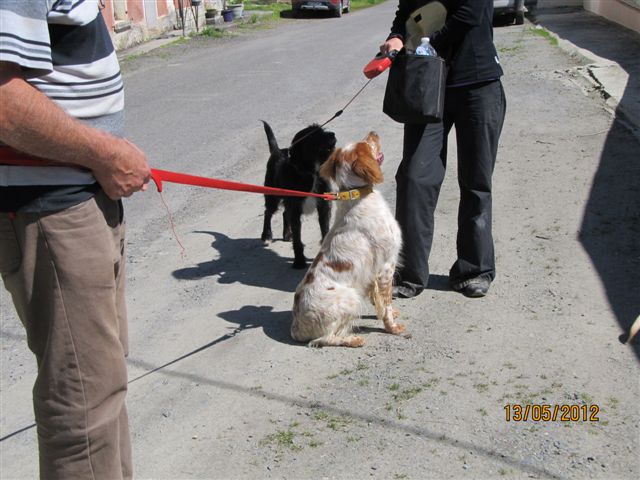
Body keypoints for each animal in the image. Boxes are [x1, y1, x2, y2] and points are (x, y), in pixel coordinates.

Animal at [262, 120, 338, 268]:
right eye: (314, 135)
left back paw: (286, 234)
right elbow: (298, 239)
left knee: (285, 213)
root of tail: (277, 151)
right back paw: (266, 236)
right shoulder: (296, 209)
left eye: (323, 130)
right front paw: (299, 261)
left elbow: (325, 229)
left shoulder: (323, 207)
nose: (333, 134)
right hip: (273, 195)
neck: (311, 172)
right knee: (268, 212)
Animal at [292, 133, 404, 346]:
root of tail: (297, 327)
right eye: (366, 144)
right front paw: (393, 328)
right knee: (324, 338)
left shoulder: (373, 271)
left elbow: (379, 300)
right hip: (351, 298)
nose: (373, 133)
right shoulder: (386, 266)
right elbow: (386, 301)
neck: (358, 197)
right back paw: (353, 340)